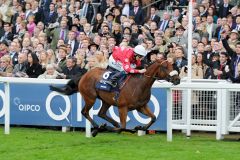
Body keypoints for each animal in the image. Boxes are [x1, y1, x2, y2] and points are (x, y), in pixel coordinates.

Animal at [49, 58, 179, 136]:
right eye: (165, 67)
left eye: (172, 65)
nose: (177, 79)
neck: (140, 84)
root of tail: (84, 74)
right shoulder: (122, 107)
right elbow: (123, 127)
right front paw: (105, 127)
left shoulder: (141, 106)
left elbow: (153, 118)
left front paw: (140, 127)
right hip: (90, 98)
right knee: (85, 112)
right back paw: (97, 127)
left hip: (106, 101)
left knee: (101, 113)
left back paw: (107, 125)